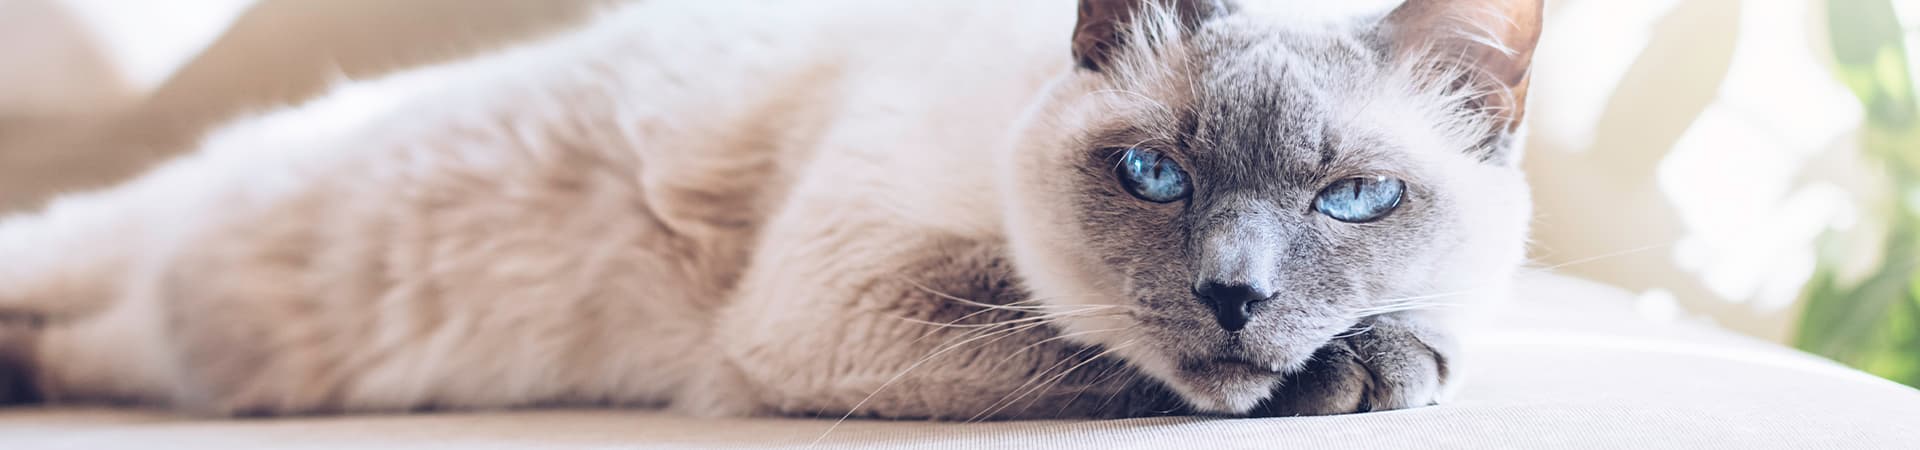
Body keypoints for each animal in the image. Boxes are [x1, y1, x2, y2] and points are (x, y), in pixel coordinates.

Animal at [0, 0, 1536, 419]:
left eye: (1355, 197)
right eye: (1154, 176)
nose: (1236, 295)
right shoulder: (842, 299)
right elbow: (1086, 346)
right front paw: (1371, 367)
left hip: (161, 344)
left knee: (88, 350)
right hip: (93, 239)